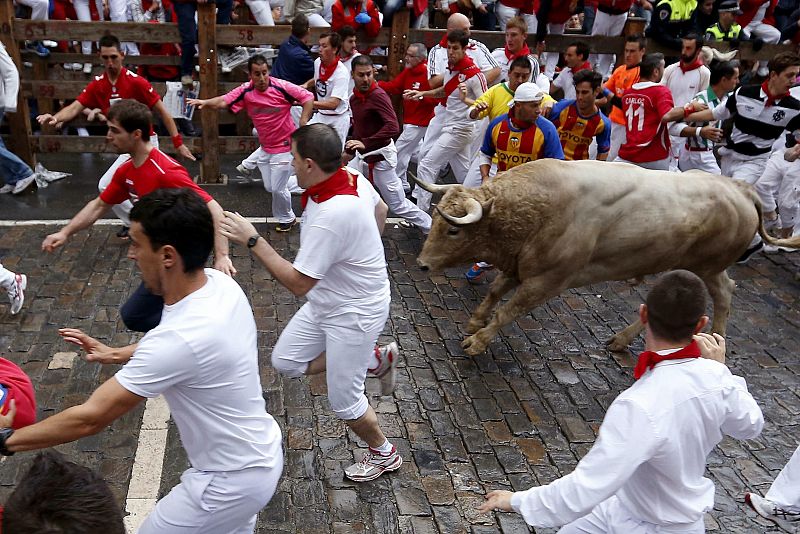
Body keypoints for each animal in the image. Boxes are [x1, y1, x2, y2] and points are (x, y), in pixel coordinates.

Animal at [416, 161, 800, 358]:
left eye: (453, 230)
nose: (422, 264)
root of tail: (740, 189)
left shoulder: (547, 281)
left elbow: (508, 310)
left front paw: (478, 341)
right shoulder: (520, 265)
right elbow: (495, 292)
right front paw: (474, 321)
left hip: (710, 266)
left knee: (724, 295)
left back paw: (715, 342)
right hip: (685, 265)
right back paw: (622, 340)